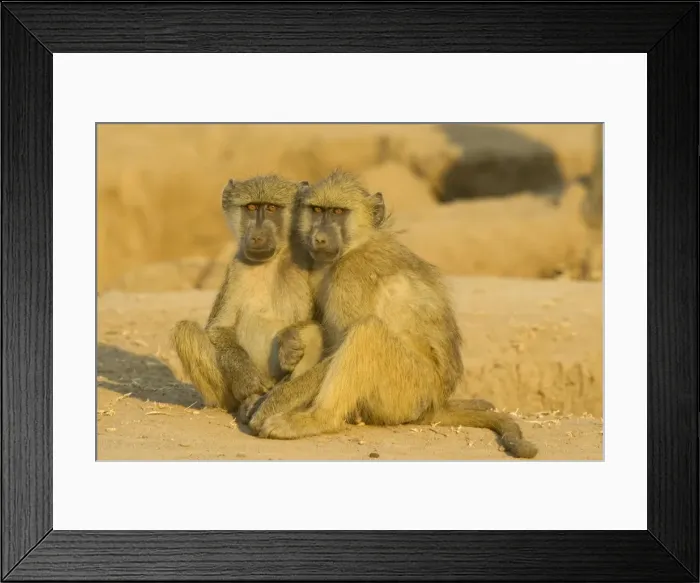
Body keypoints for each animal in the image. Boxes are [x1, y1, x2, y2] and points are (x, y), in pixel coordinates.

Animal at [171, 175, 324, 415]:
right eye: (251, 208)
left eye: (271, 208)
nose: (257, 236)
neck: (271, 262)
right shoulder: (236, 270)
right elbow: (219, 328)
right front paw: (248, 382)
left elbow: (320, 323)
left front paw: (288, 343)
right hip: (226, 395)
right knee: (185, 331)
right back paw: (248, 401)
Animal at [247, 170, 538, 459]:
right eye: (317, 210)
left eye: (338, 212)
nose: (319, 238)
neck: (358, 244)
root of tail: (435, 404)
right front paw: (289, 345)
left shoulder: (351, 276)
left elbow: (341, 343)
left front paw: (267, 406)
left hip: (407, 393)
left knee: (368, 332)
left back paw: (316, 419)